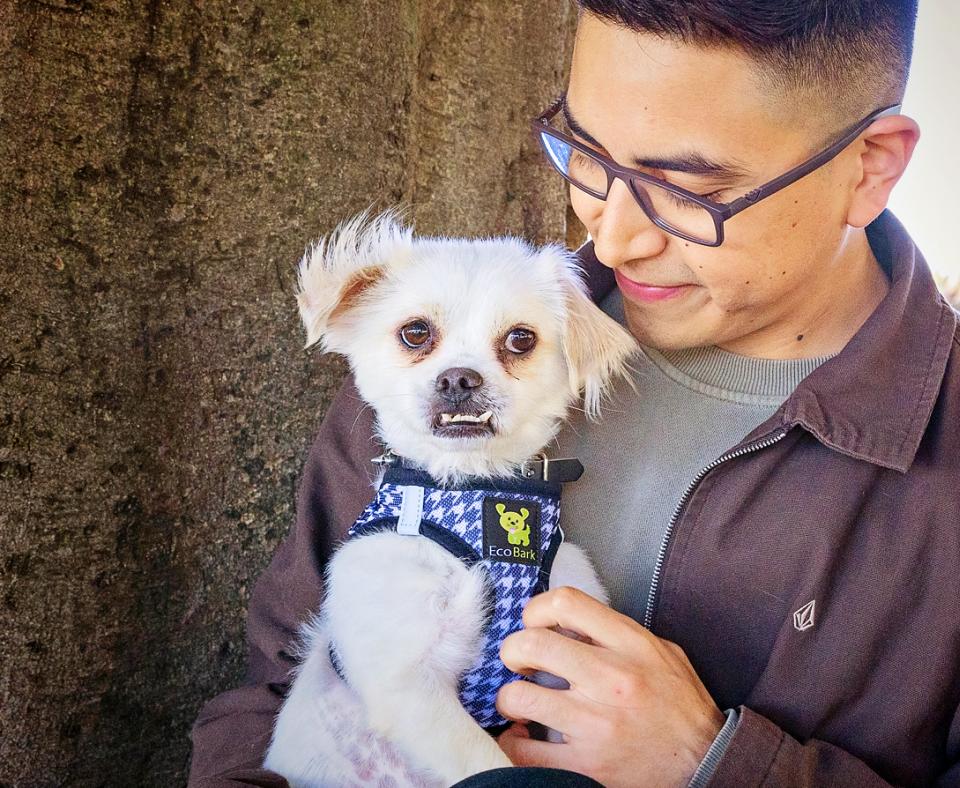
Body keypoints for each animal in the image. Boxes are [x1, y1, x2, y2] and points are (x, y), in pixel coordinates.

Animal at [262, 211, 636, 788]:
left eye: (520, 339)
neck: (475, 491)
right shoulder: (409, 686)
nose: (460, 377)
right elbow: (489, 765)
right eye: (415, 332)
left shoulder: (565, 654)